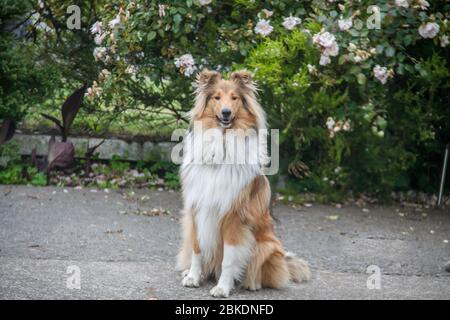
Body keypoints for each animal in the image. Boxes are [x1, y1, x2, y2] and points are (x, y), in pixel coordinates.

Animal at [178, 69, 312, 298]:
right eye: (216, 97)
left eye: (235, 98)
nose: (225, 113)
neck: (222, 143)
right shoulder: (195, 210)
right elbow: (197, 249)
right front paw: (193, 277)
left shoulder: (234, 217)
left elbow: (229, 259)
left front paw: (222, 288)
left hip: (266, 246)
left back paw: (251, 283)